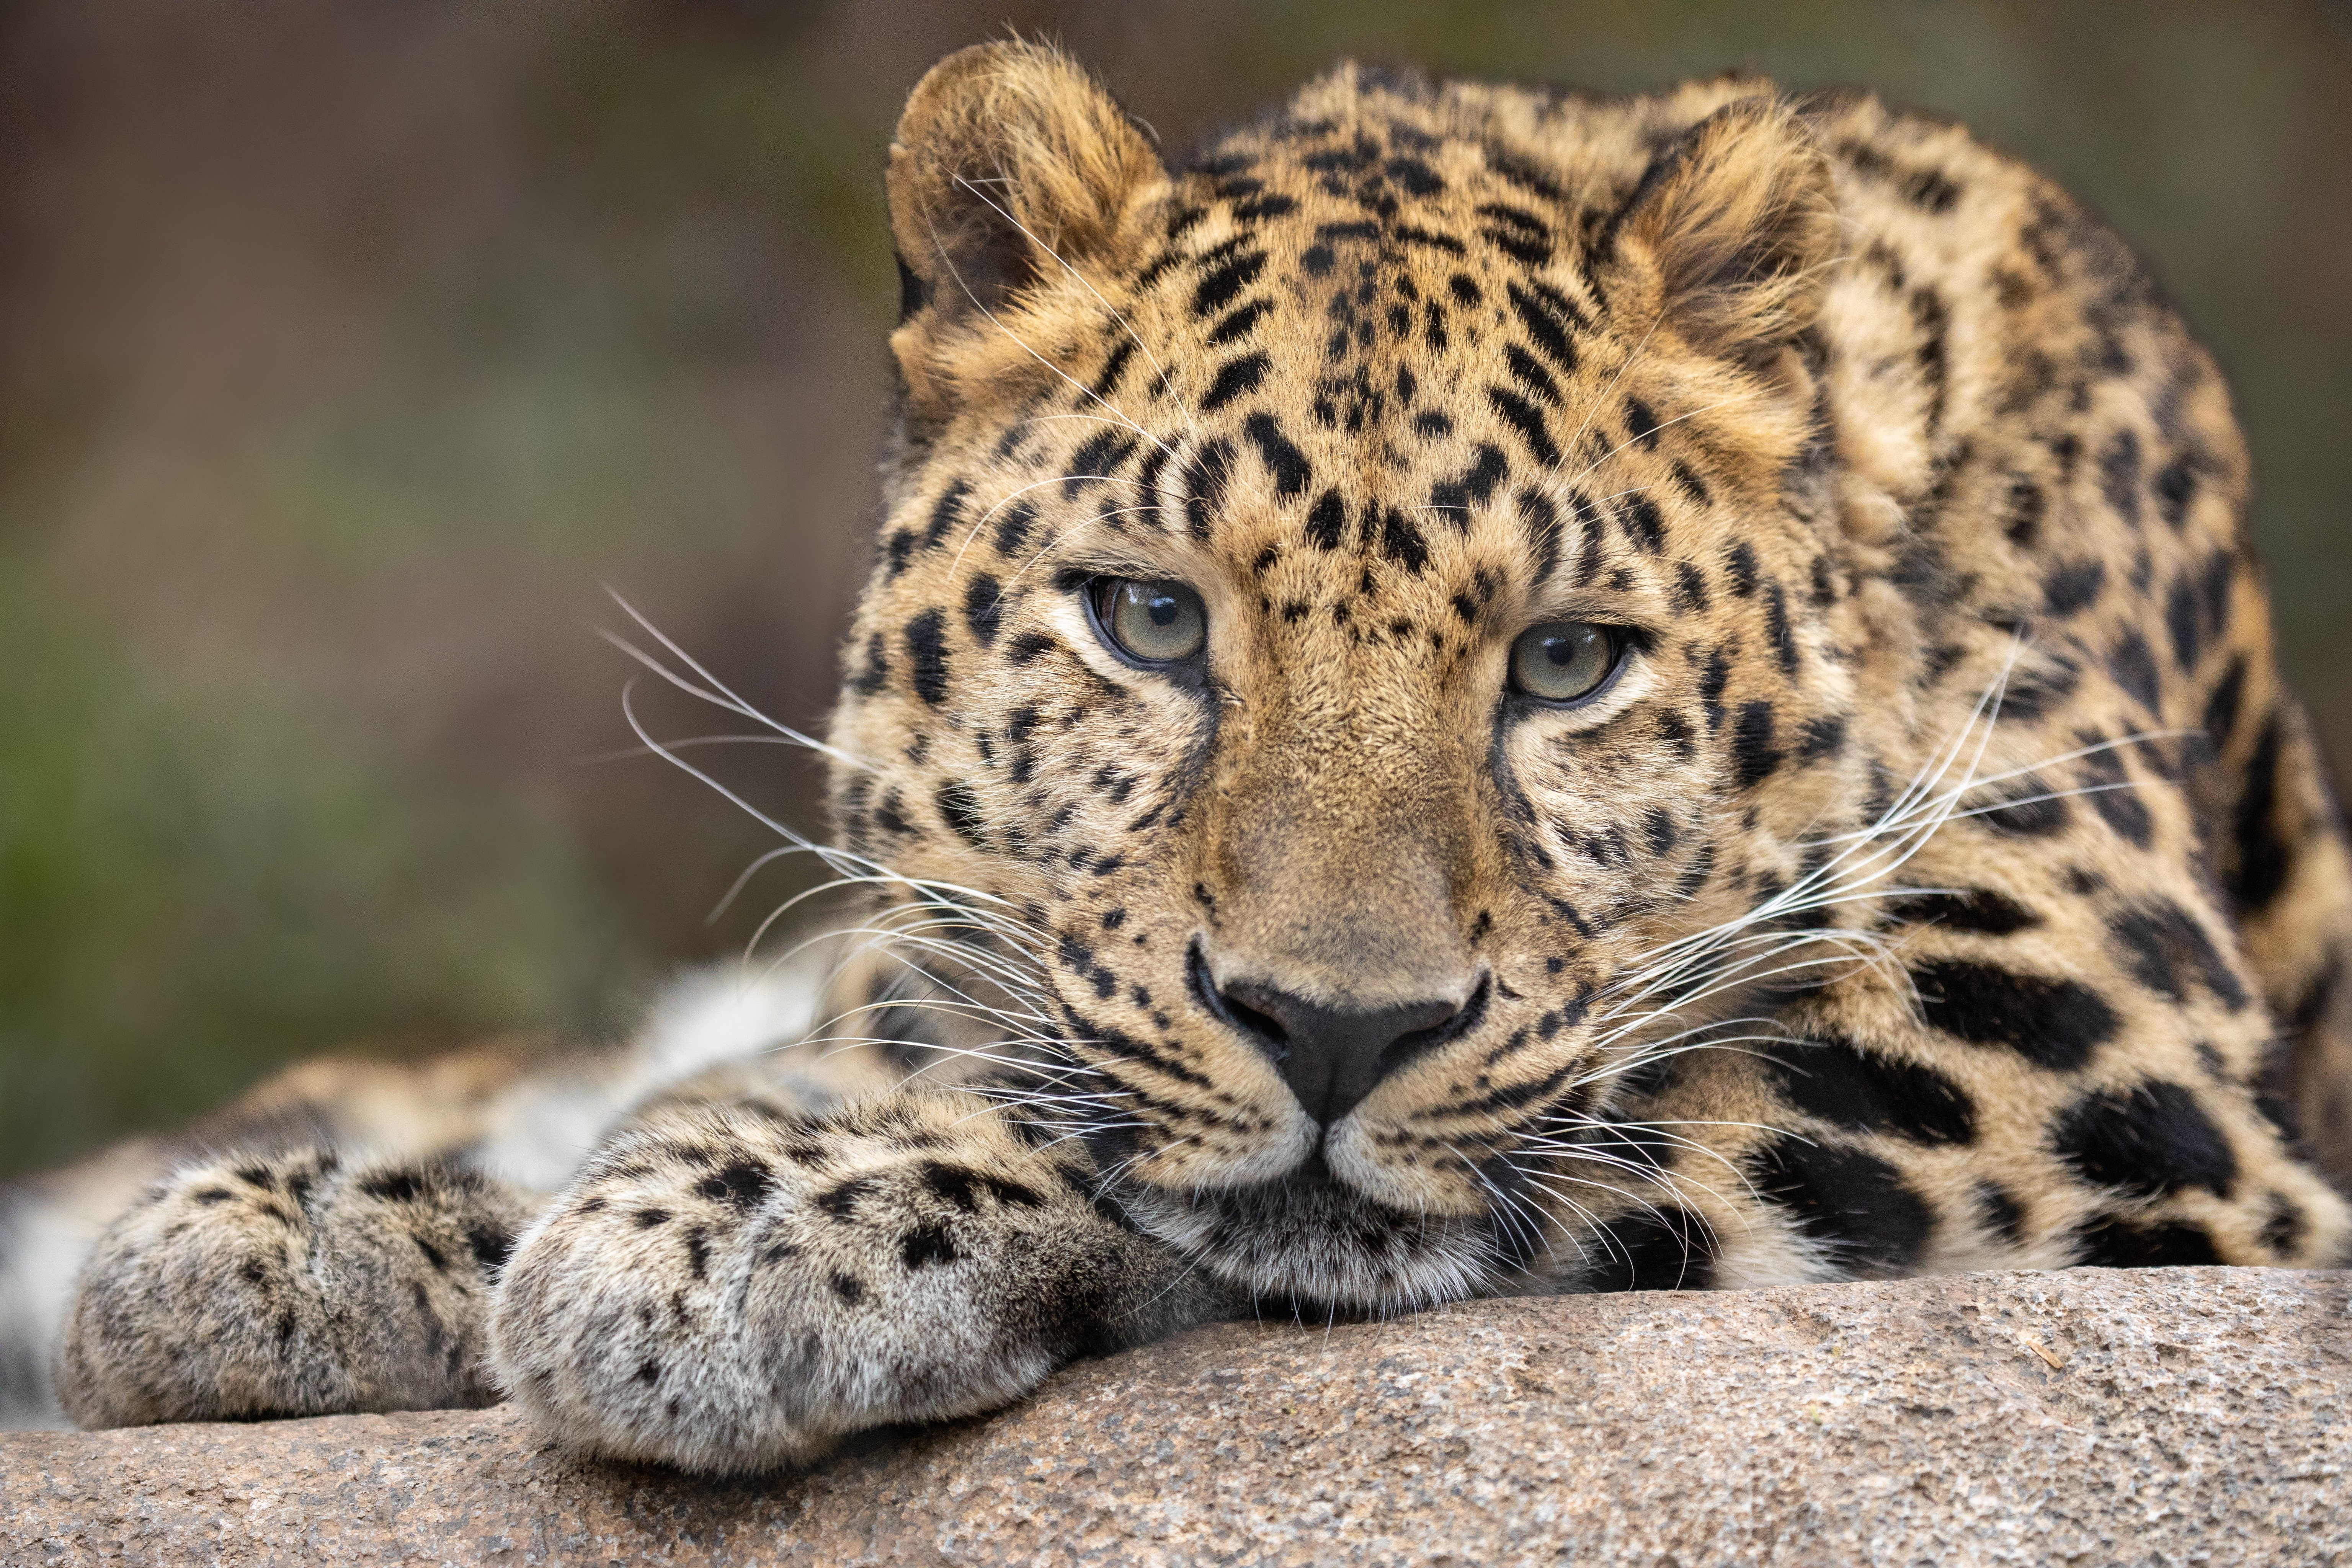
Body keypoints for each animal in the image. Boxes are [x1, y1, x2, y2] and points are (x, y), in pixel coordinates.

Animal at [7, 41, 2351, 1472]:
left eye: (1566, 662)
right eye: (1150, 621)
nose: (1335, 1027)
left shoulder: (2076, 1032)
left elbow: (1502, 1140)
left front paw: (729, 1226)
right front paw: (330, 1230)